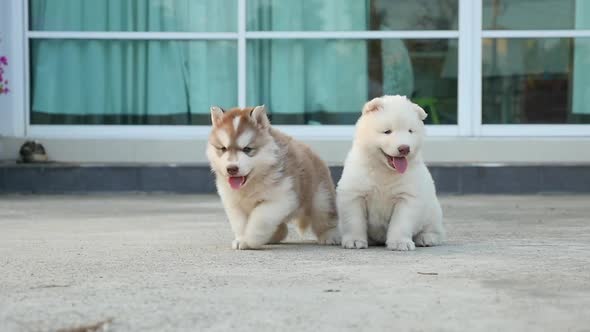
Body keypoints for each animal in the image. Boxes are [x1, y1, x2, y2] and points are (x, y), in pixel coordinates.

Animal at [207, 105, 340, 249]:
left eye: (247, 149)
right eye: (223, 149)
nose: (231, 169)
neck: (251, 184)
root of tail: (313, 152)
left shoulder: (280, 199)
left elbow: (260, 219)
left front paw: (251, 239)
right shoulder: (234, 204)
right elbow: (240, 224)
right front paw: (242, 239)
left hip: (321, 200)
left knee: (325, 219)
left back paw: (330, 236)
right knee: (283, 229)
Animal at [338, 94, 444, 250]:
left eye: (410, 131)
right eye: (387, 131)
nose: (404, 148)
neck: (384, 170)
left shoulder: (407, 197)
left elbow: (400, 222)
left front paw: (400, 243)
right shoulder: (354, 195)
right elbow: (354, 221)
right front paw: (355, 241)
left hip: (432, 210)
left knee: (435, 229)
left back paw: (427, 238)